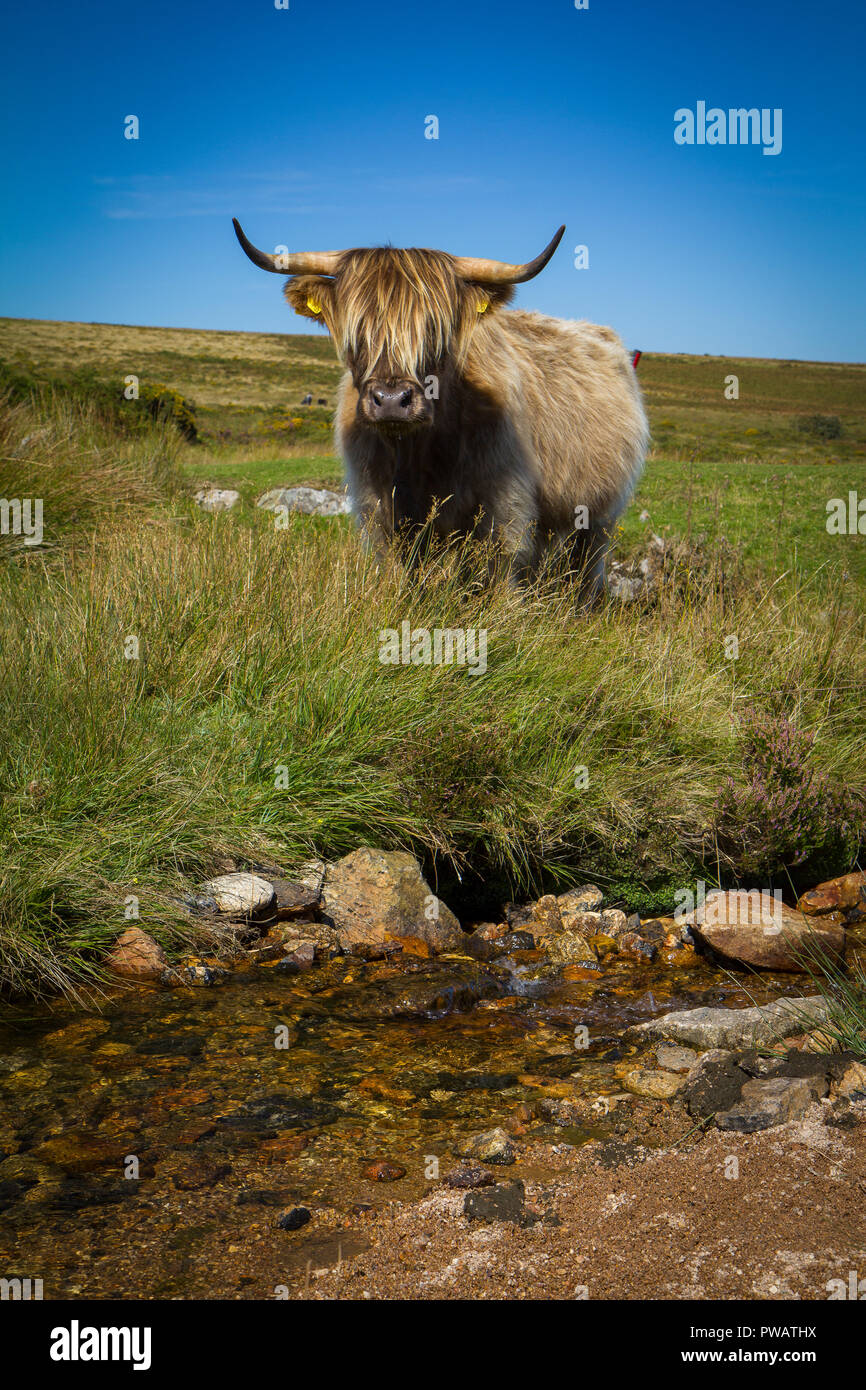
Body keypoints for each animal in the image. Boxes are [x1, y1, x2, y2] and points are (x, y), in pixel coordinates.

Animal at [233, 216, 647, 592]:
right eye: (357, 330)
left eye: (434, 330)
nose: (392, 401)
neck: (417, 453)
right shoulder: (377, 508)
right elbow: (399, 574)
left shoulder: (506, 503)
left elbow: (503, 573)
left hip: (601, 510)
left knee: (588, 561)